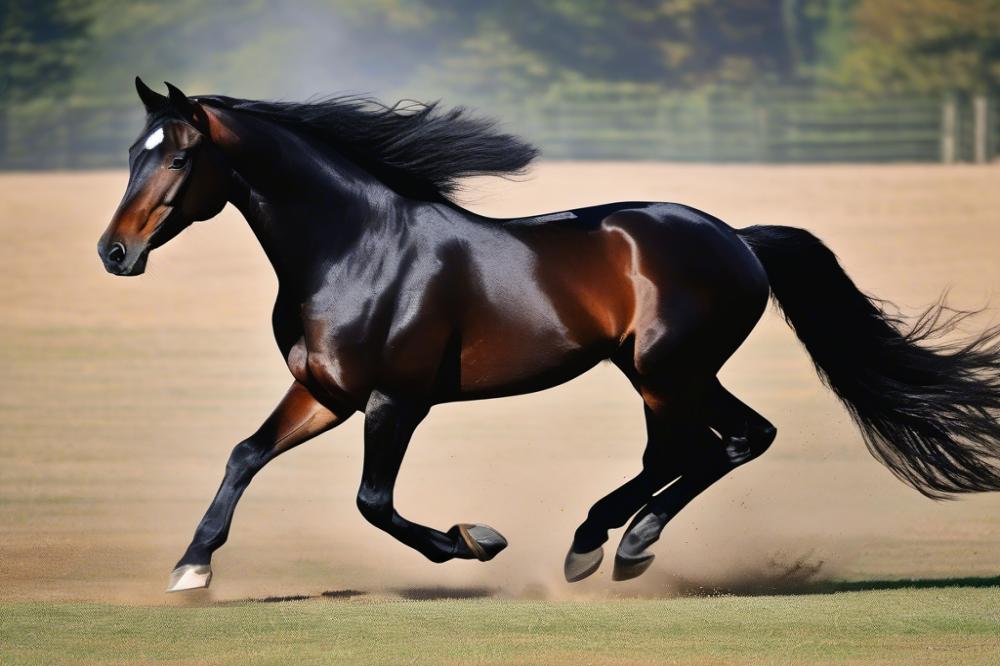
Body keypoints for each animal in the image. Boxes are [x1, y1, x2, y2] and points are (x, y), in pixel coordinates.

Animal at [98, 78, 1000, 593]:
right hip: (671, 372)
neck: (356, 248)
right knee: (730, 442)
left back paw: (603, 543)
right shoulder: (324, 392)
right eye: (133, 151)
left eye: (178, 157)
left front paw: (476, 540)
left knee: (690, 450)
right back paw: (620, 542)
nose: (114, 253)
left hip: (665, 371)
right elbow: (244, 455)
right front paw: (191, 566)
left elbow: (374, 503)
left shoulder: (397, 401)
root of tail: (738, 237)